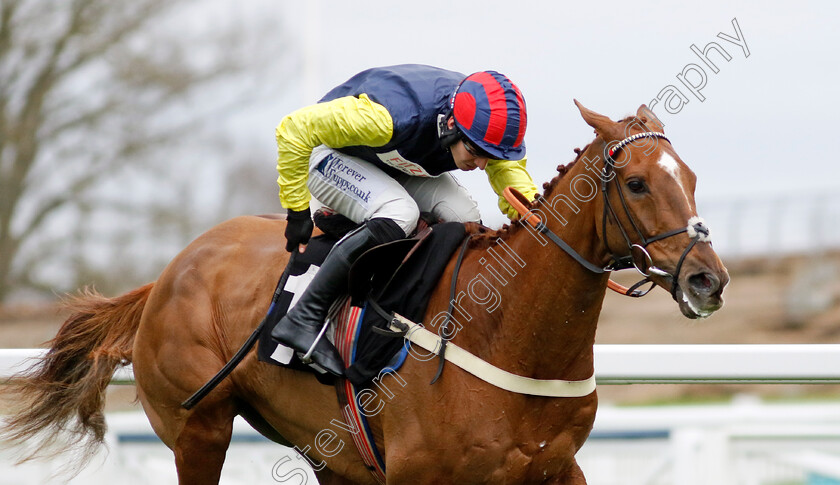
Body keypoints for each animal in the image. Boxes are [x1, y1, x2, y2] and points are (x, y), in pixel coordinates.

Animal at [1, 101, 728, 480]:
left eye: (691, 175)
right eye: (636, 182)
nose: (708, 279)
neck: (508, 334)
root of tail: (167, 274)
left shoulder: (554, 468)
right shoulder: (417, 473)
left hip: (329, 453)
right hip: (197, 429)